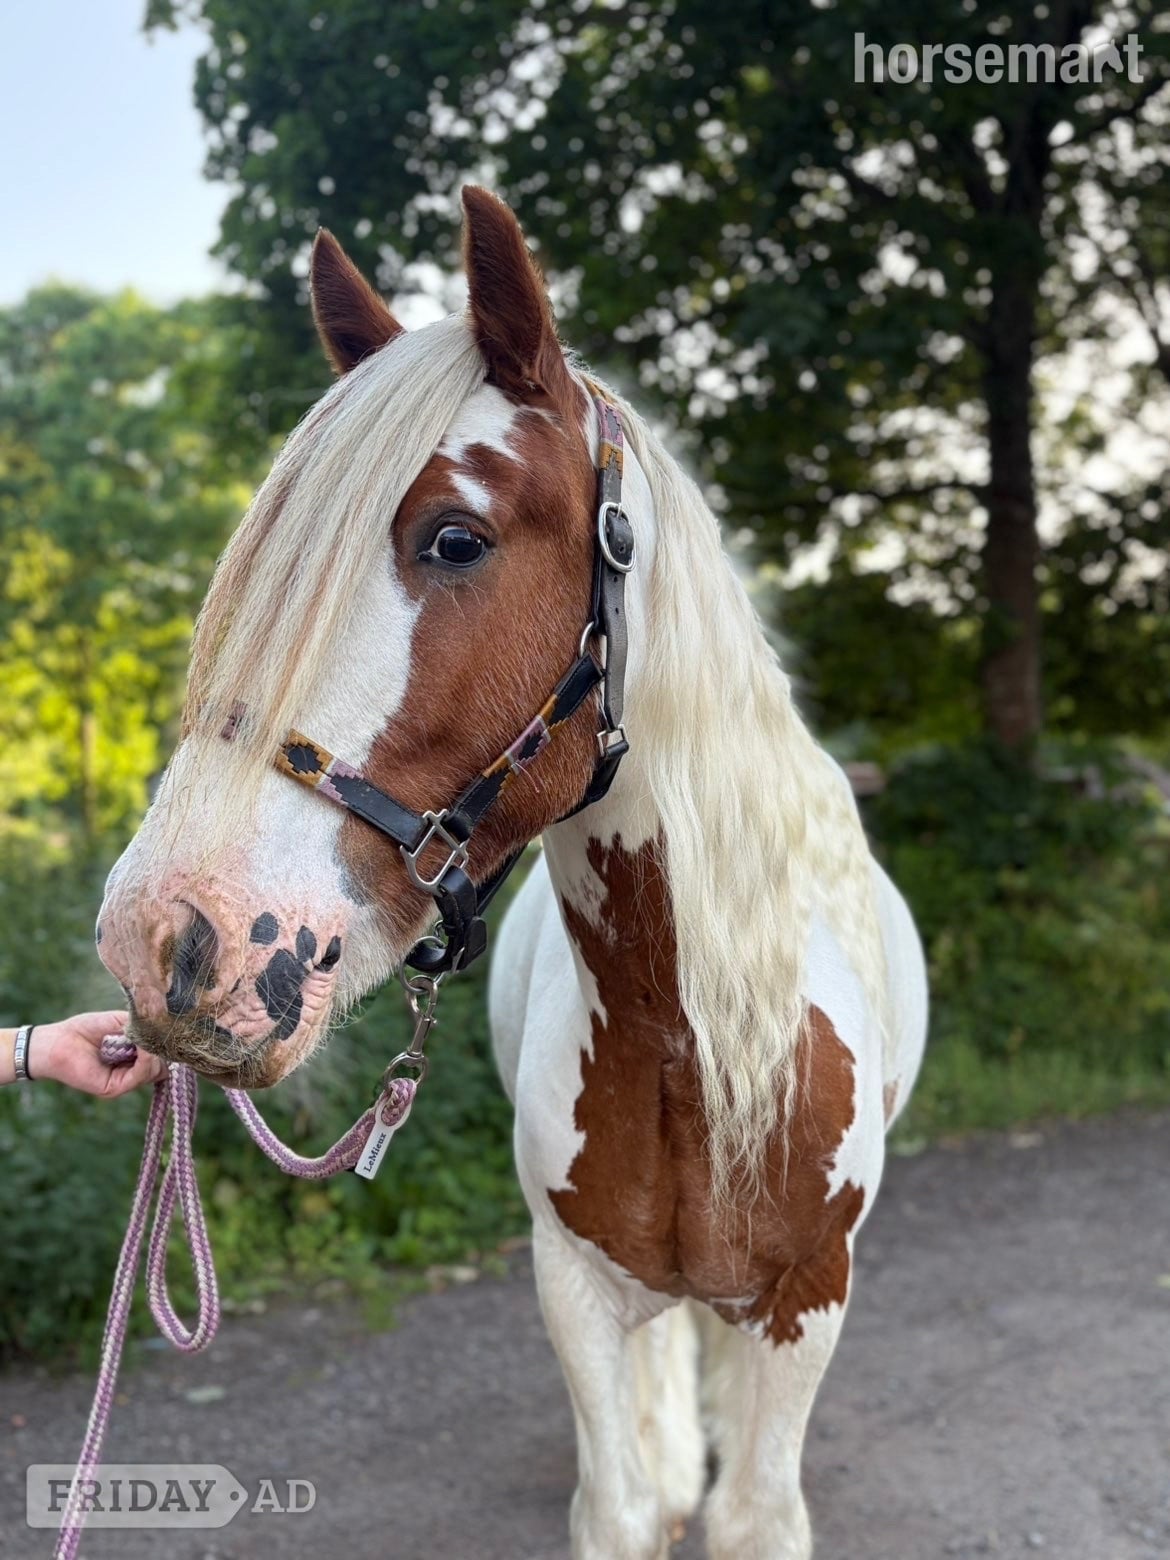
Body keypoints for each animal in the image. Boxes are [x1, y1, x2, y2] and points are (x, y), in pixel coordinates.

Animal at [96, 186, 927, 1559]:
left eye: (454, 538)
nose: (170, 940)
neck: (694, 1042)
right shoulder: (572, 1286)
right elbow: (622, 1499)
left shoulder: (808, 1296)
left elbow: (755, 1513)